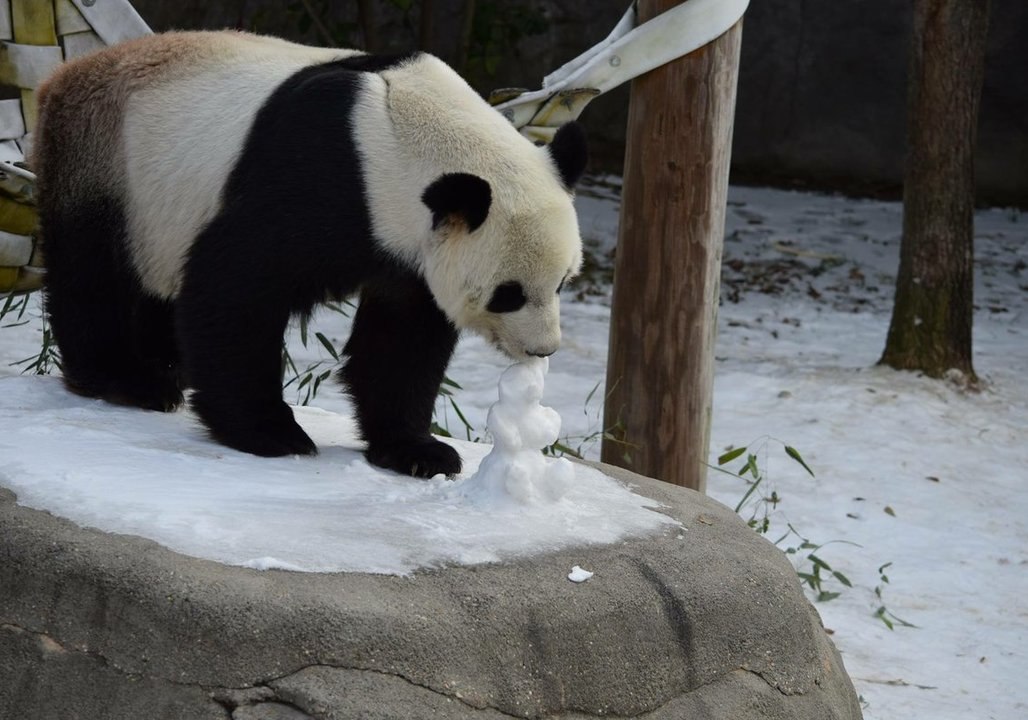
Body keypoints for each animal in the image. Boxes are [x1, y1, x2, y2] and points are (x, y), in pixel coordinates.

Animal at [33, 31, 587, 479]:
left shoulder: (410, 248)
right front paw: (270, 432)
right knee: (95, 275)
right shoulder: (326, 172)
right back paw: (127, 379)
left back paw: (169, 367)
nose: (543, 350)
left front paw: (417, 451)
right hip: (106, 162)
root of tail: (63, 76)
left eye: (562, 282)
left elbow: (404, 339)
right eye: (508, 294)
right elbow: (235, 284)